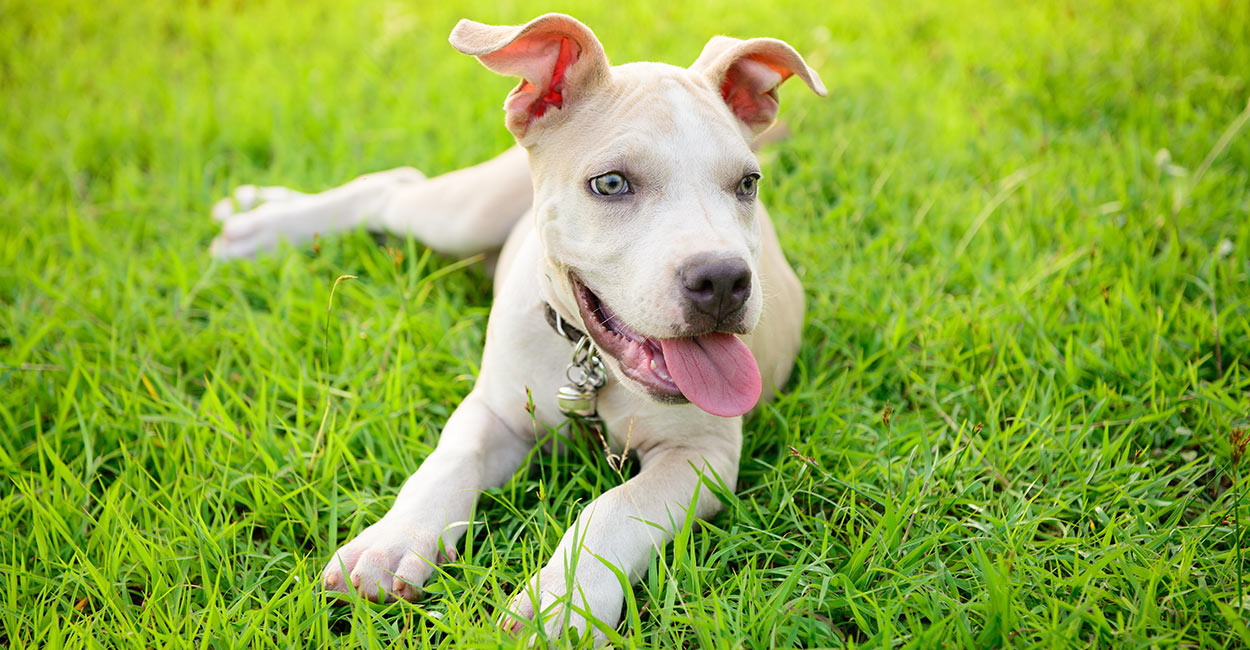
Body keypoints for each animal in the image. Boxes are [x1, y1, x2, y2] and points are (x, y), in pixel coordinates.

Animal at [211, 13, 825, 645]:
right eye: (610, 184)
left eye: (748, 184)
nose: (724, 280)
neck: (591, 364)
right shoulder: (494, 410)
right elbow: (449, 462)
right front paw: (390, 542)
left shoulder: (702, 455)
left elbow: (611, 508)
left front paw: (562, 603)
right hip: (463, 213)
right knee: (390, 187)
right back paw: (261, 221)